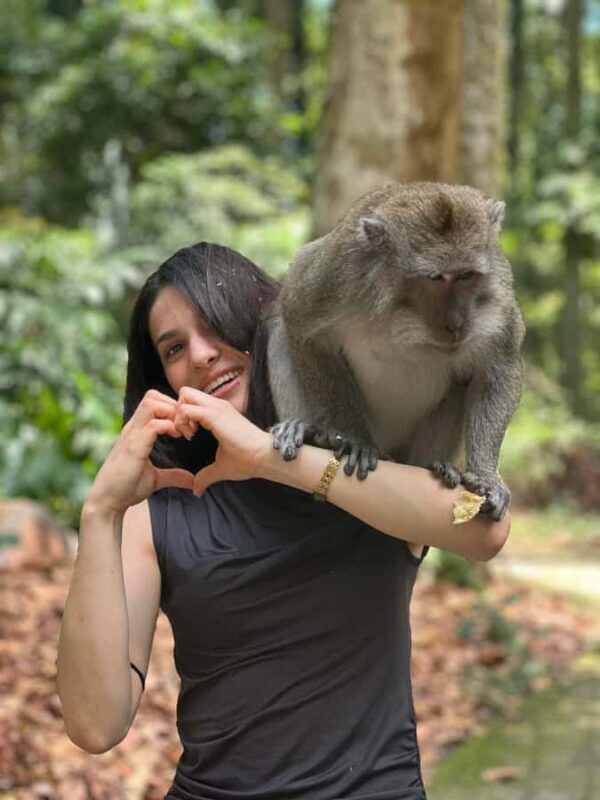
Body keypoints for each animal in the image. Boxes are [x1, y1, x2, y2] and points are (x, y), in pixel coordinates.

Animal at [266, 181, 525, 522]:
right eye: (435, 278)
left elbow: (498, 371)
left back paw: (438, 468)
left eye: (466, 276)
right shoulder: (335, 274)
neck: (403, 314)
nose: (456, 323)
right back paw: (309, 431)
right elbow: (301, 323)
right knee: (280, 330)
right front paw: (355, 438)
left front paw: (485, 476)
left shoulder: (498, 299)